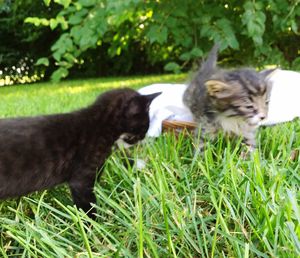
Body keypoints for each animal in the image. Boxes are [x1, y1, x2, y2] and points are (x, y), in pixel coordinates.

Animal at [0, 88, 161, 218]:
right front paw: (92, 226)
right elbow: (87, 203)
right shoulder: (82, 178)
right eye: (145, 125)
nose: (144, 137)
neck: (100, 125)